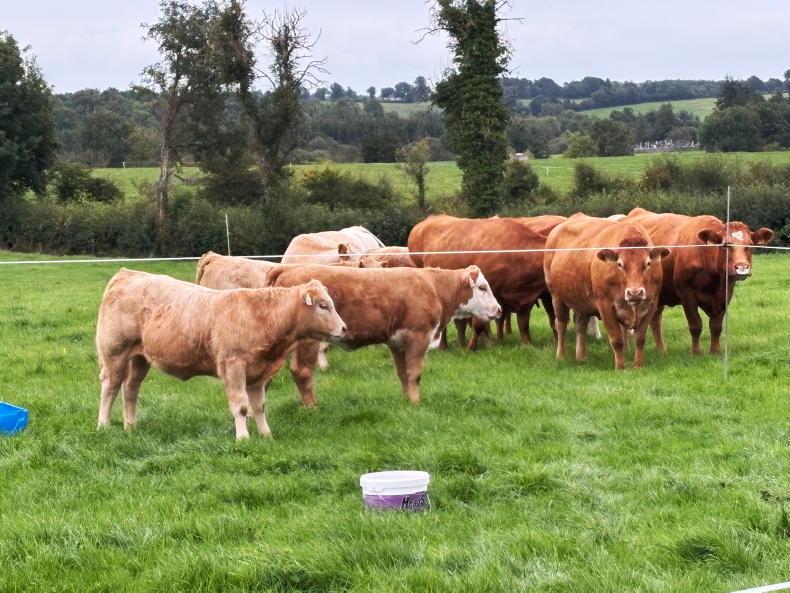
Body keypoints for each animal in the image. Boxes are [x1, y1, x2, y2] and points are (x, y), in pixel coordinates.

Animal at [96, 269, 346, 440]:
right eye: (323, 305)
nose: (344, 329)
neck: (262, 317)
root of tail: (127, 273)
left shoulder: (258, 372)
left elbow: (259, 406)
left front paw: (266, 434)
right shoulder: (233, 366)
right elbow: (241, 406)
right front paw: (243, 437)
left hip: (140, 358)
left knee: (130, 389)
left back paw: (130, 426)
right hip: (115, 354)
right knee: (110, 388)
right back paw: (103, 425)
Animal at [264, 264, 501, 406]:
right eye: (482, 287)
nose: (499, 309)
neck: (433, 287)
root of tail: (288, 267)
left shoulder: (397, 343)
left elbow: (403, 373)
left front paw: (407, 400)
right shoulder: (418, 337)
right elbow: (415, 374)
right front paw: (416, 403)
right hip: (308, 342)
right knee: (302, 372)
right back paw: (312, 407)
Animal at [408, 214, 555, 350]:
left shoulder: (526, 298)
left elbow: (523, 324)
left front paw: (527, 345)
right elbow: (479, 324)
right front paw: (470, 347)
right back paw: (443, 346)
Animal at [544, 214, 670, 370]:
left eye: (648, 263)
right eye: (620, 264)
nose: (634, 293)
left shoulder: (650, 305)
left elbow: (640, 338)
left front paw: (637, 365)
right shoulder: (605, 307)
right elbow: (617, 340)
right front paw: (620, 367)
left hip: (581, 300)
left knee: (581, 325)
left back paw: (581, 356)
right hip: (556, 296)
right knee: (561, 324)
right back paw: (561, 355)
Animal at [625, 207, 774, 355]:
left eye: (750, 245)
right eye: (725, 245)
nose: (742, 267)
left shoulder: (725, 295)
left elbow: (716, 327)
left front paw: (715, 351)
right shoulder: (686, 294)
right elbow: (695, 325)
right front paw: (696, 352)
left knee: (655, 319)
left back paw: (661, 350)